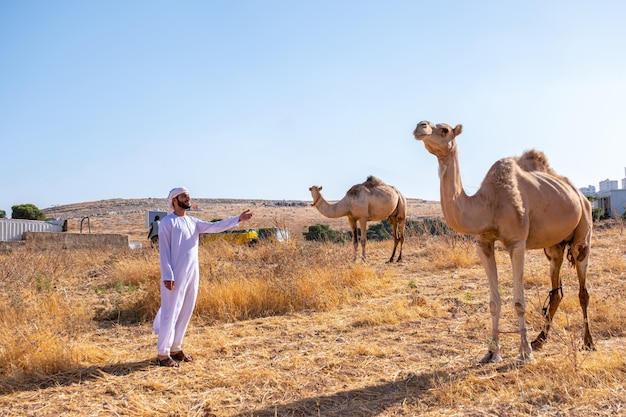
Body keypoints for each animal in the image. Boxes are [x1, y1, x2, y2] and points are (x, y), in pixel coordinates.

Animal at [412, 118, 592, 362]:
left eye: (445, 130)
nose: (420, 126)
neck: (489, 204)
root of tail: (580, 195)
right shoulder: (483, 244)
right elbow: (493, 302)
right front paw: (491, 352)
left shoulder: (517, 243)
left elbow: (519, 302)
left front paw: (525, 353)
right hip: (554, 247)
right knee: (556, 291)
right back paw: (540, 340)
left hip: (583, 232)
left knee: (583, 290)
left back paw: (588, 342)